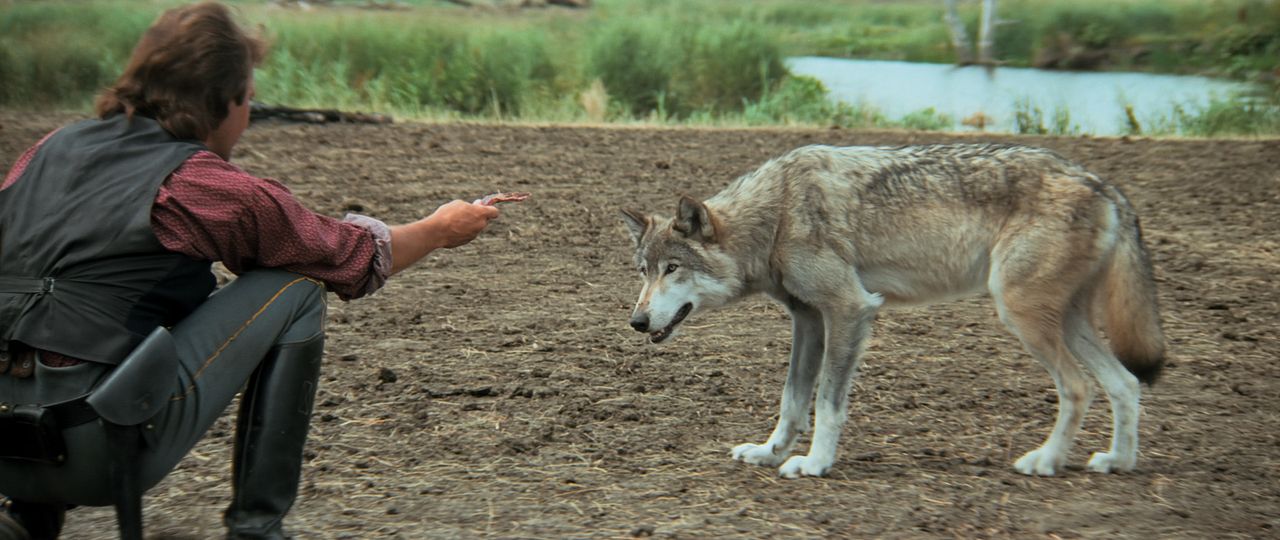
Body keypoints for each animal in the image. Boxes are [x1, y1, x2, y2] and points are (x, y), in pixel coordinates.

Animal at [621, 143, 1165, 478]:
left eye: (673, 269)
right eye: (643, 271)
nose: (637, 322)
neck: (776, 214)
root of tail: (1103, 183)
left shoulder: (850, 310)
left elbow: (827, 404)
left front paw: (814, 465)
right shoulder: (808, 320)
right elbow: (791, 401)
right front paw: (769, 453)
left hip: (1023, 316)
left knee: (1079, 388)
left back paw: (1046, 460)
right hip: (1062, 322)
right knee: (1125, 383)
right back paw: (1118, 461)